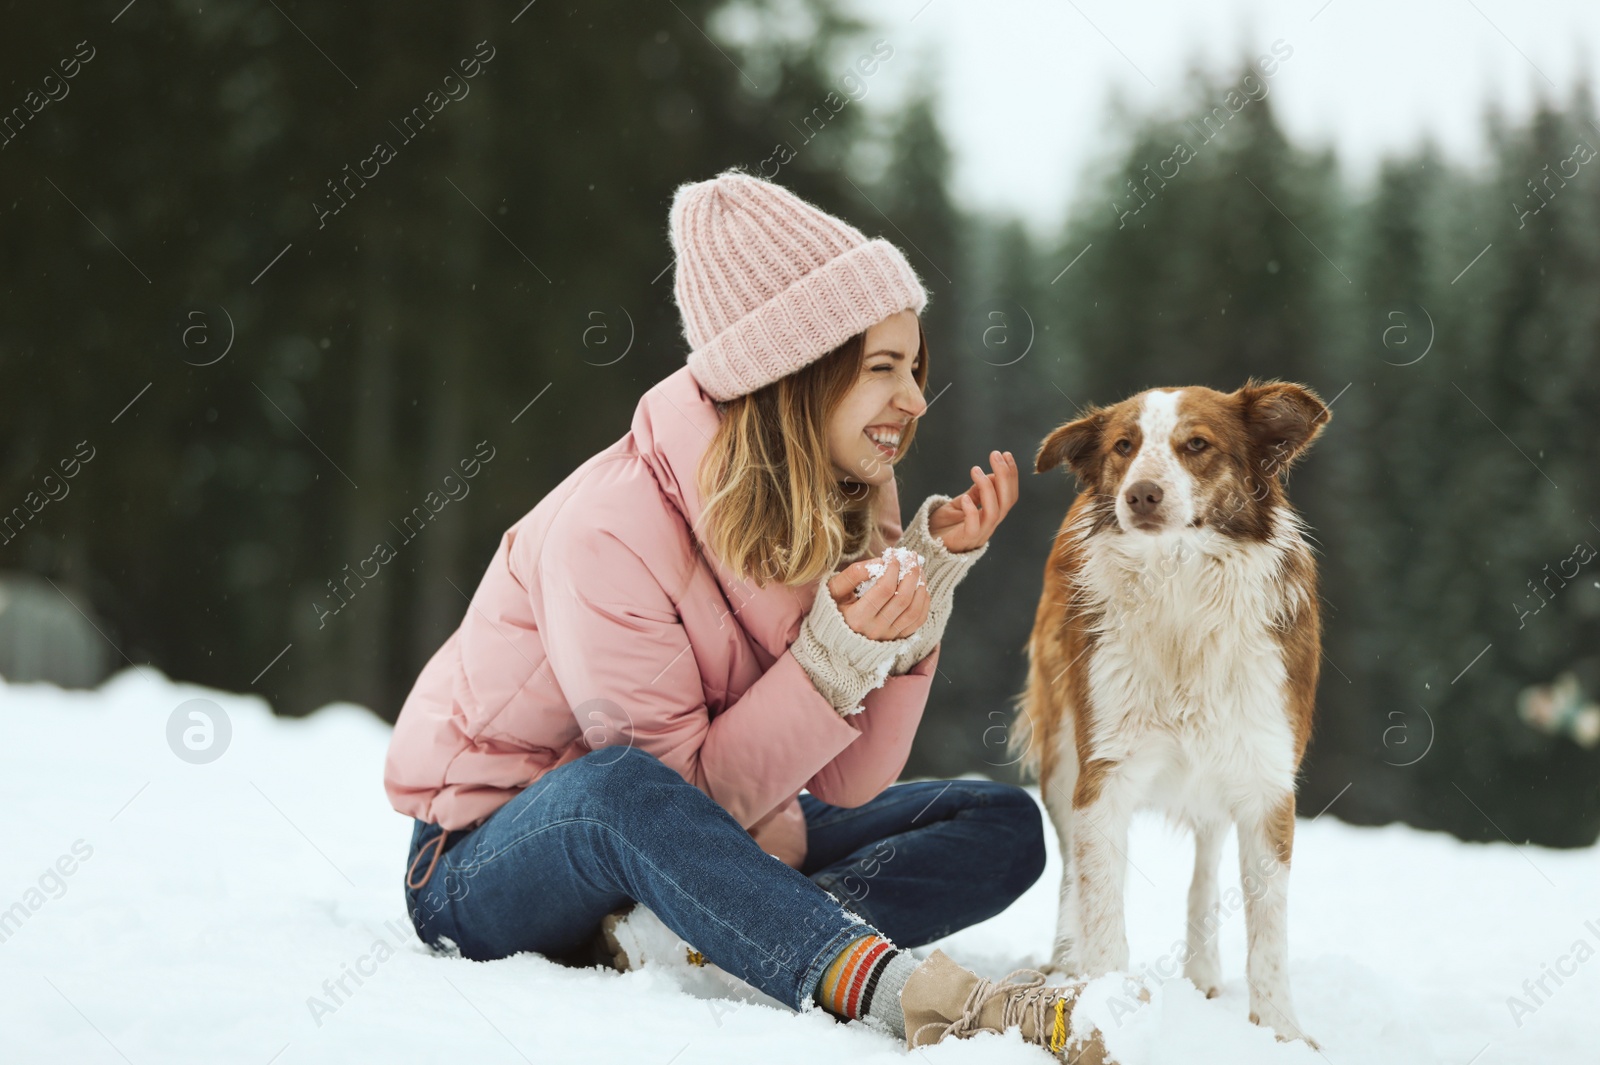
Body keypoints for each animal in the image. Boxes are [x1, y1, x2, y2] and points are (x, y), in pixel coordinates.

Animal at [1017, 377, 1331, 1042]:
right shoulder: (1103, 775)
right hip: (1060, 757)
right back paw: (1065, 962)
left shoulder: (1266, 780)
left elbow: (1268, 931)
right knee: (1071, 873)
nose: (1140, 494)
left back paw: (1202, 970)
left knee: (1207, 858)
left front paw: (1281, 1031)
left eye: (1197, 445)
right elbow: (1101, 907)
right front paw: (1103, 1004)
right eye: (1123, 446)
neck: (1182, 589)